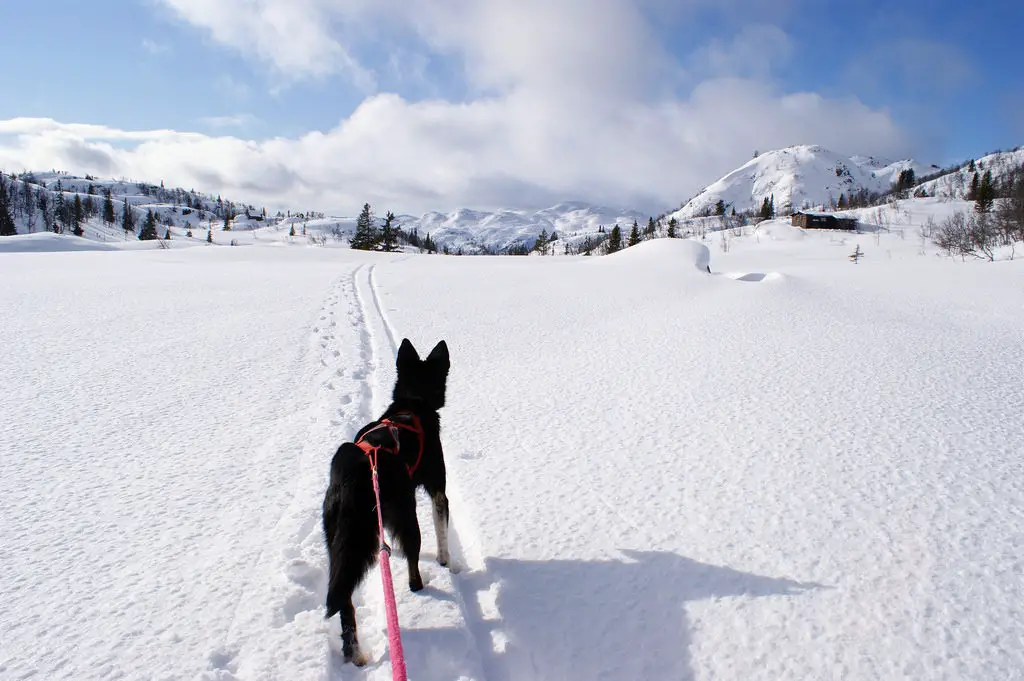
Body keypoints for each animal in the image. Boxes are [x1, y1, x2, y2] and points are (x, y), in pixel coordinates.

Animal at [319, 337, 448, 667]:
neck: (413, 400)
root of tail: (352, 477)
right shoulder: (438, 490)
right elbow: (442, 529)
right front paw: (446, 561)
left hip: (337, 541)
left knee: (345, 601)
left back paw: (355, 654)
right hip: (405, 514)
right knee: (413, 561)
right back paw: (418, 587)